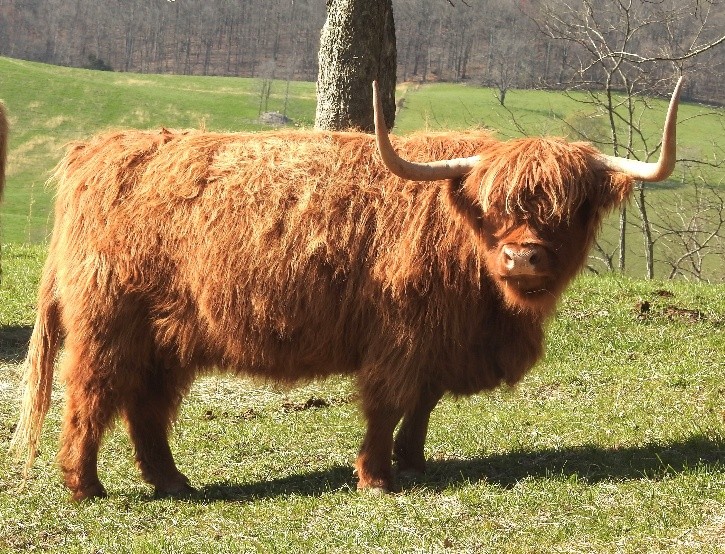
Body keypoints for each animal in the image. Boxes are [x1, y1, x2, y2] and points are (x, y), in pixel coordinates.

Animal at [11, 78, 683, 501]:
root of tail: (102, 149)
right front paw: (377, 476)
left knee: (146, 405)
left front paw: (414, 462)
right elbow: (388, 403)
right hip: (108, 323)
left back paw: (172, 481)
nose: (523, 255)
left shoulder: (438, 343)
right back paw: (85, 486)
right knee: (91, 395)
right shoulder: (400, 336)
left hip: (166, 336)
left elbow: (424, 402)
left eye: (571, 209)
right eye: (495, 206)